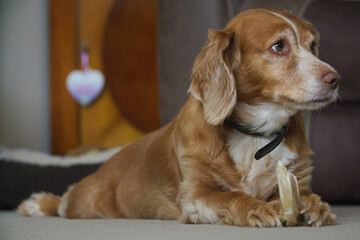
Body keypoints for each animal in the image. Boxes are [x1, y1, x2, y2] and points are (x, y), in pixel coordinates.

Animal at [19, 8, 340, 227]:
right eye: (279, 46)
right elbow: (230, 196)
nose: (335, 79)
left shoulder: (297, 175)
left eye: (312, 46)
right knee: (65, 201)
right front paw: (256, 207)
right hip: (88, 202)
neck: (255, 135)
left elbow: (304, 193)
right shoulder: (195, 194)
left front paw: (314, 205)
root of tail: (105, 166)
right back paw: (37, 204)